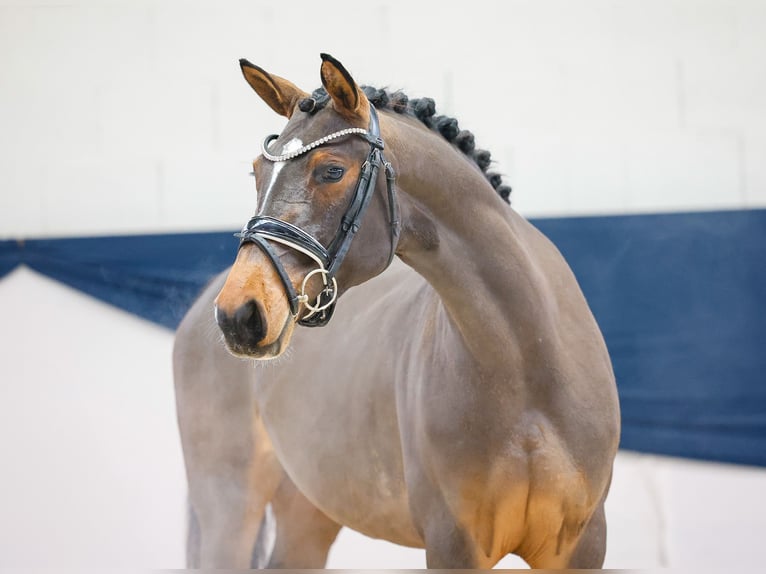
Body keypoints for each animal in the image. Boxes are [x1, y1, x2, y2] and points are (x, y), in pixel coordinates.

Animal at [176, 54, 624, 572]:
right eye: (256, 175)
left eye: (332, 171)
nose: (239, 314)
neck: (527, 365)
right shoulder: (452, 544)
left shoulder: (582, 546)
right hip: (228, 507)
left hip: (309, 510)